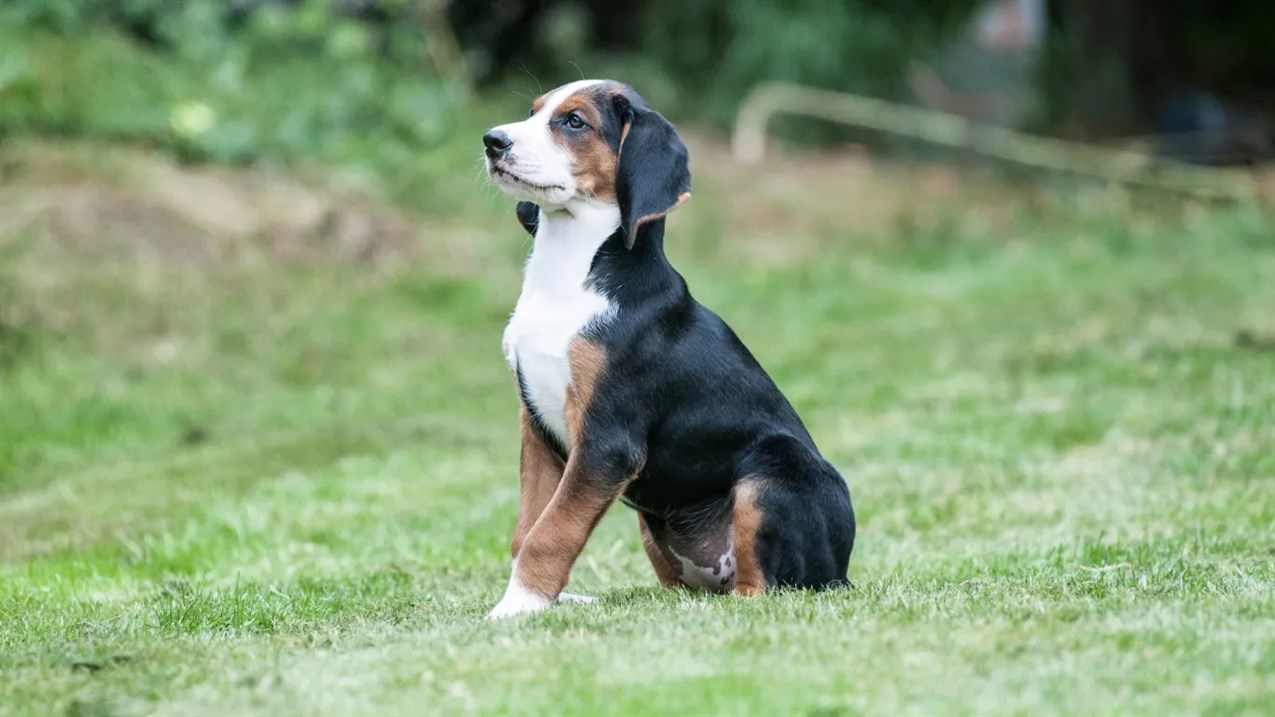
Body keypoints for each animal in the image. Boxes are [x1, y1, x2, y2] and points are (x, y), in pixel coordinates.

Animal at [481, 76, 851, 614]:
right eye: (532, 112)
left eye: (574, 122)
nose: (493, 141)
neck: (571, 270)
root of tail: (841, 572)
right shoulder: (538, 430)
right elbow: (527, 528)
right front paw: (538, 602)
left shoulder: (606, 444)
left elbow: (551, 533)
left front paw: (515, 609)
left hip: (771, 479)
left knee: (763, 588)